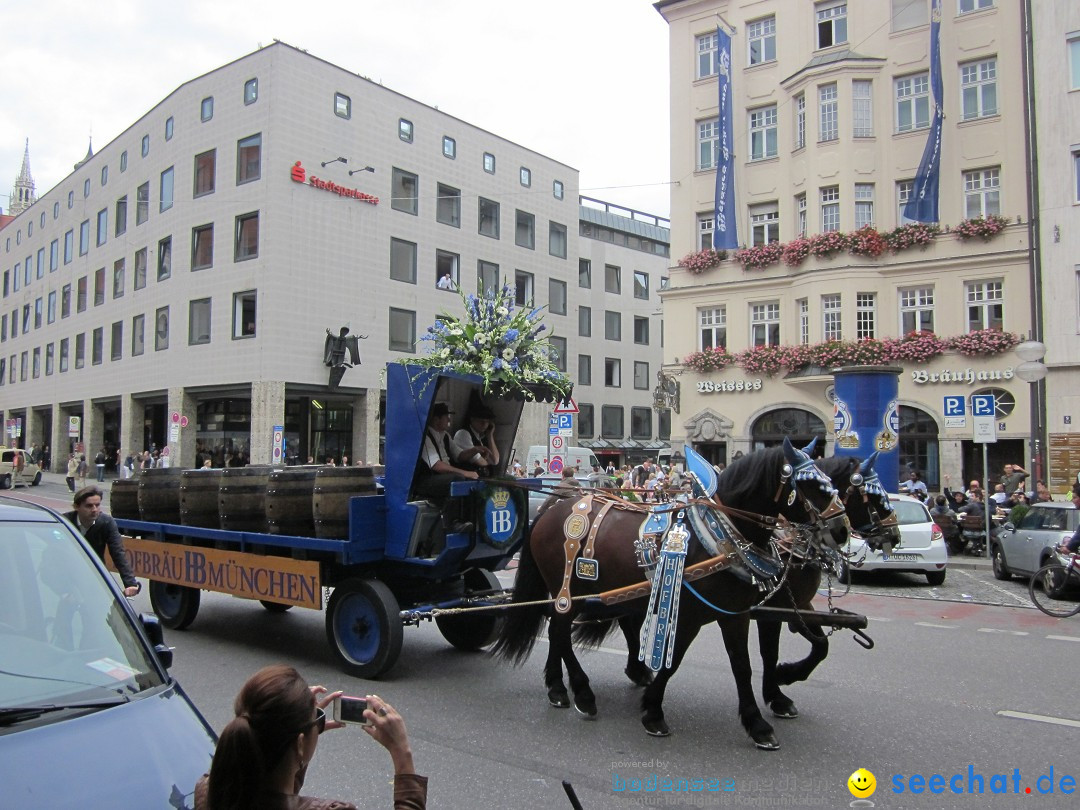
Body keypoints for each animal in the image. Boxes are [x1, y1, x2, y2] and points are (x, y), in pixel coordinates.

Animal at [492, 440, 851, 751]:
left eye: (833, 485)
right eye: (811, 486)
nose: (842, 531)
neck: (716, 537)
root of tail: (554, 506)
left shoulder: (734, 613)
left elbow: (743, 665)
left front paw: (757, 723)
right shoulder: (690, 614)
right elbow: (674, 660)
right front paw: (653, 711)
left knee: (558, 631)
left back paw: (558, 687)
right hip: (566, 590)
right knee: (559, 631)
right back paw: (581, 692)